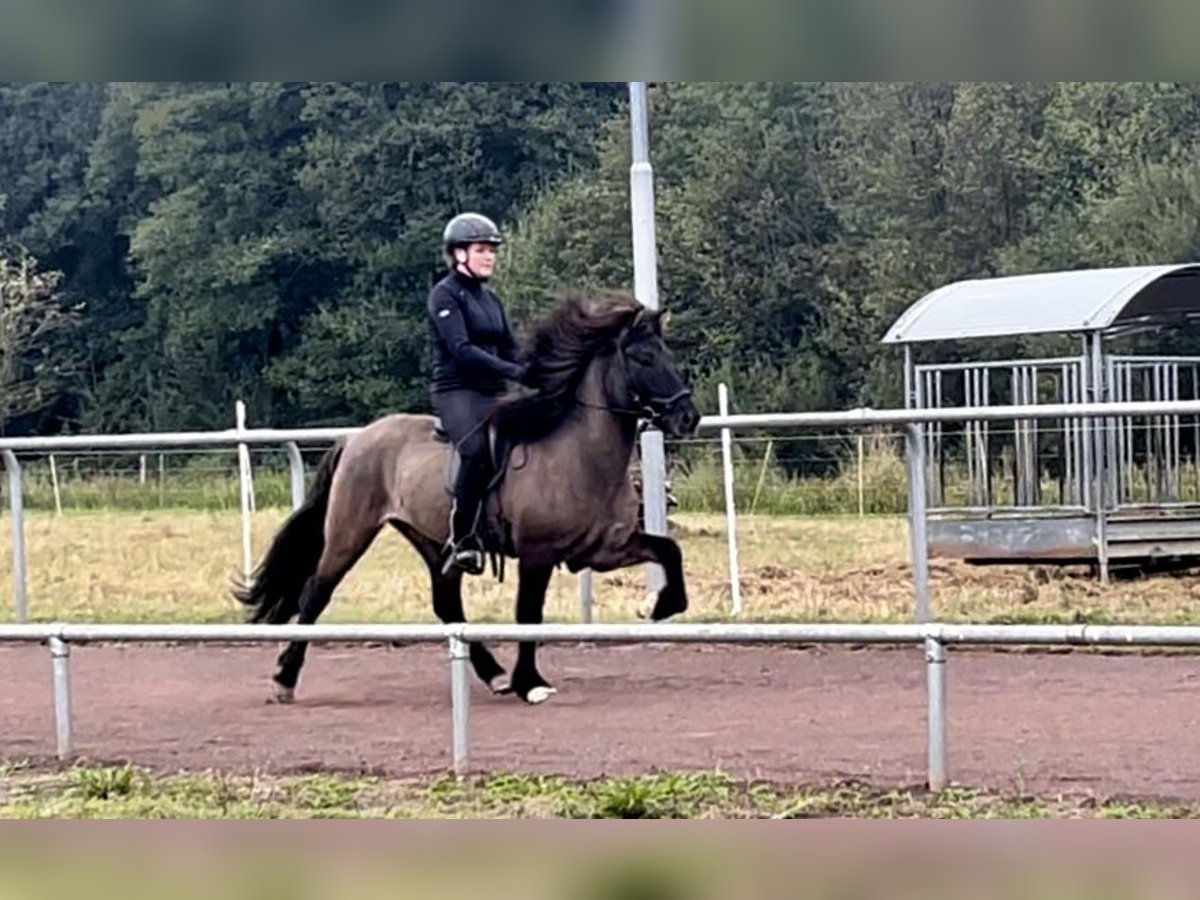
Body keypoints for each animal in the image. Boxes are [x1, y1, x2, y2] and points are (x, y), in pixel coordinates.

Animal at [231, 294, 700, 705]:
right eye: (643, 359)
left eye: (667, 354)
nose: (688, 417)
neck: (578, 452)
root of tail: (355, 438)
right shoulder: (538, 553)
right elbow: (528, 614)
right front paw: (531, 683)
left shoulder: (603, 548)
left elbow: (669, 550)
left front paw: (659, 606)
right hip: (350, 533)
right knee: (315, 593)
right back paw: (284, 679)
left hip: (435, 541)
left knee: (446, 602)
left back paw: (493, 674)